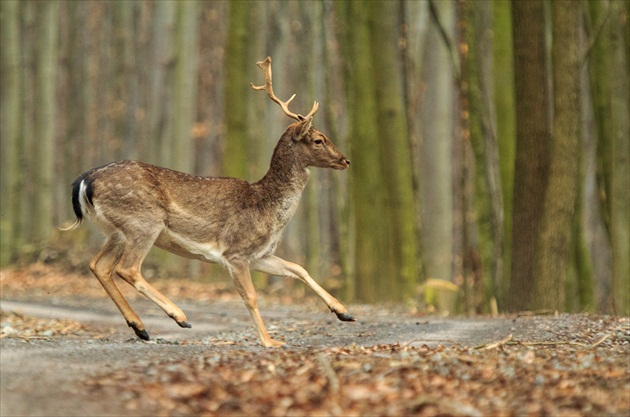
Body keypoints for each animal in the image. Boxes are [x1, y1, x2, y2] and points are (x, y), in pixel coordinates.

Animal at [67, 57, 358, 346]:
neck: (268, 207)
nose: (345, 160)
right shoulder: (236, 251)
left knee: (99, 266)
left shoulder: (259, 255)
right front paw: (269, 341)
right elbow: (251, 296)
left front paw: (344, 312)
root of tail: (84, 181)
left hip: (116, 231)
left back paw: (141, 327)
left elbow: (298, 268)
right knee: (128, 268)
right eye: (318, 139)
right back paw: (179, 316)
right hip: (143, 222)